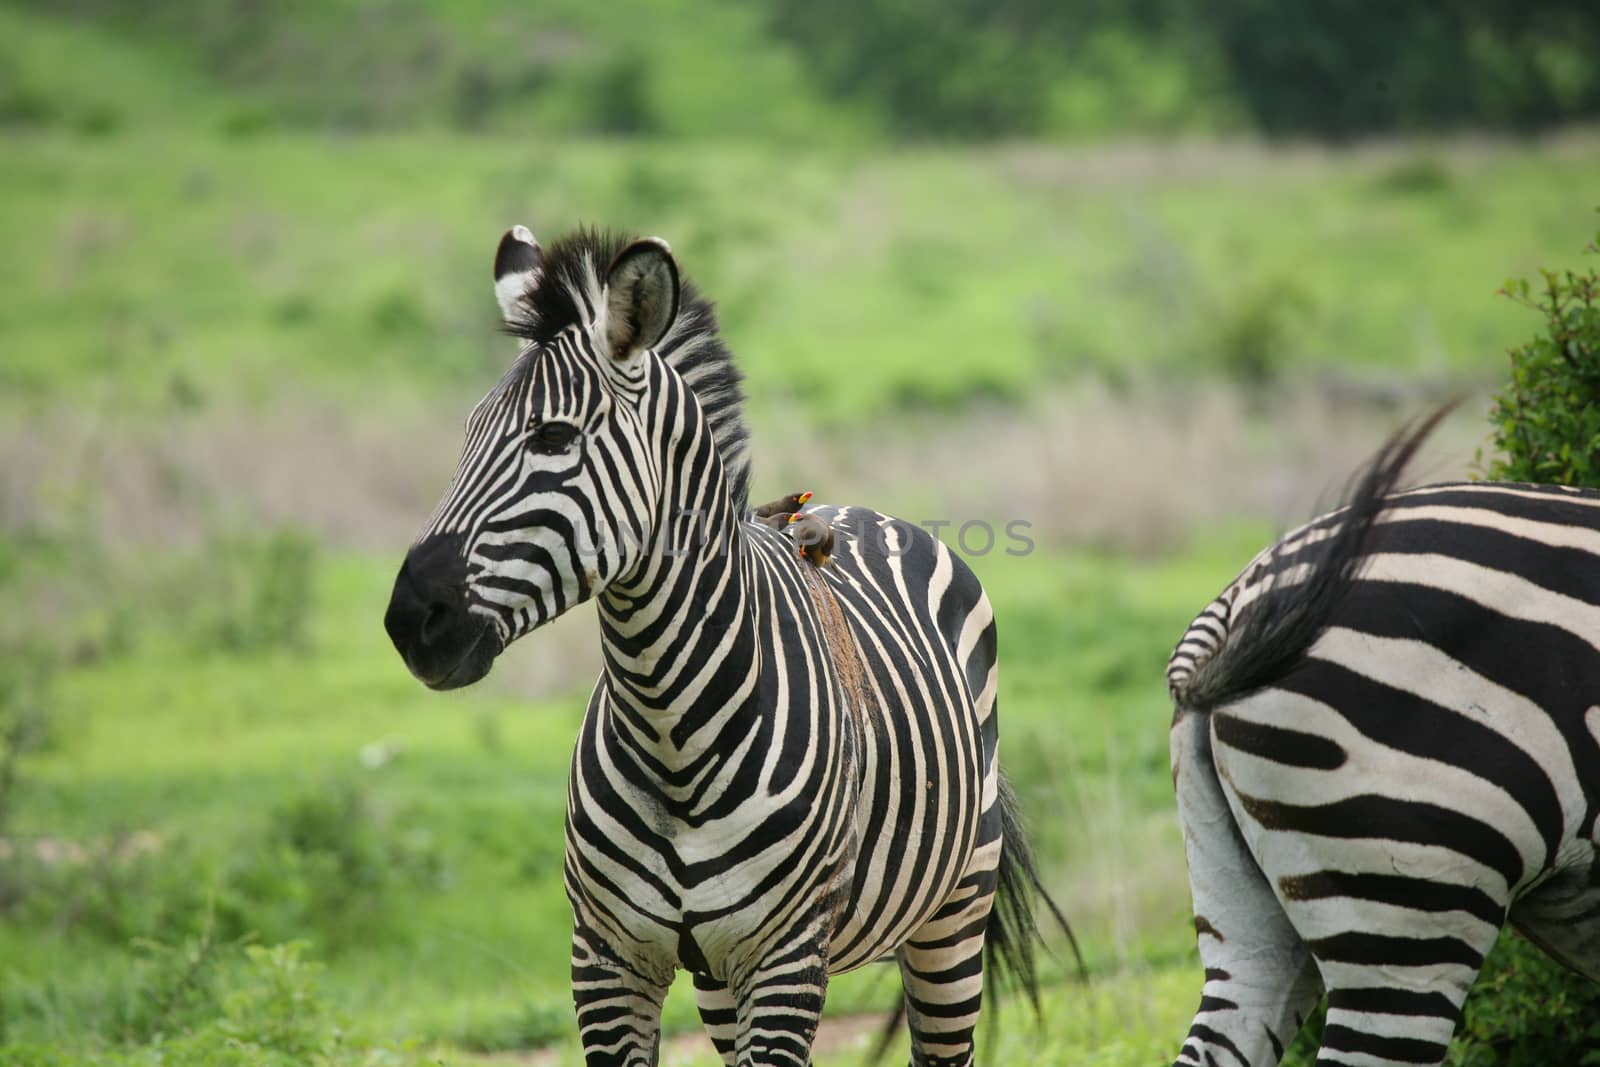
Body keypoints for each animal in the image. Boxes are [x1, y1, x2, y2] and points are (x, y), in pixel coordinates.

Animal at [384, 220, 1062, 1062]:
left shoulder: (785, 957)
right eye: (468, 433)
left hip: (954, 912)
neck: (670, 729)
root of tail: (852, 509)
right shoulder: (605, 959)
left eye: (554, 436)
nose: (411, 618)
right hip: (716, 982)